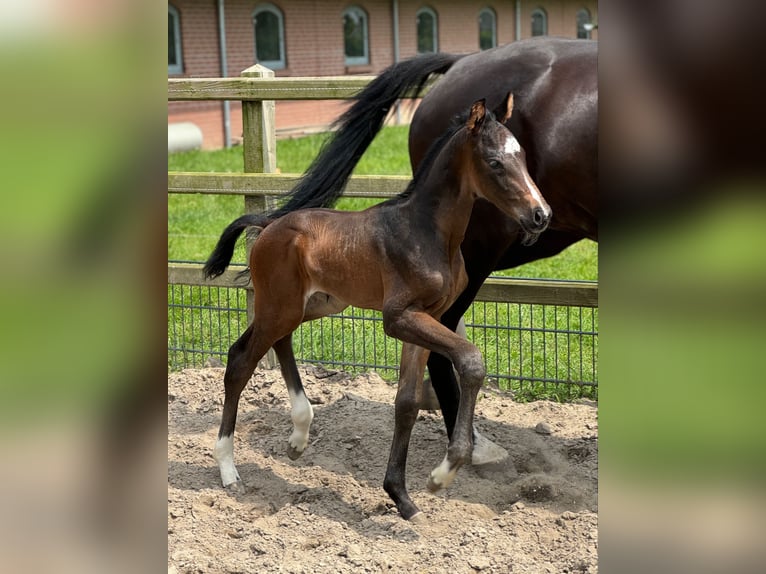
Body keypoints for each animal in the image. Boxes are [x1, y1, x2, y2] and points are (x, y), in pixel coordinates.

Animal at [204, 95, 552, 520]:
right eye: (494, 162)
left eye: (523, 158)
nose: (541, 215)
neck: (428, 232)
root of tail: (267, 224)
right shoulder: (399, 317)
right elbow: (470, 361)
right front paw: (443, 474)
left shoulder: (427, 317)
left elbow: (407, 402)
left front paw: (401, 497)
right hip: (279, 306)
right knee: (240, 360)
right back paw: (228, 469)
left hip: (312, 305)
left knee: (273, 344)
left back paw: (299, 435)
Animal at [270, 36, 600, 462]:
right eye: (494, 162)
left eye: (523, 157)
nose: (541, 214)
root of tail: (461, 62)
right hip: (482, 249)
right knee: (448, 333)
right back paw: (469, 444)